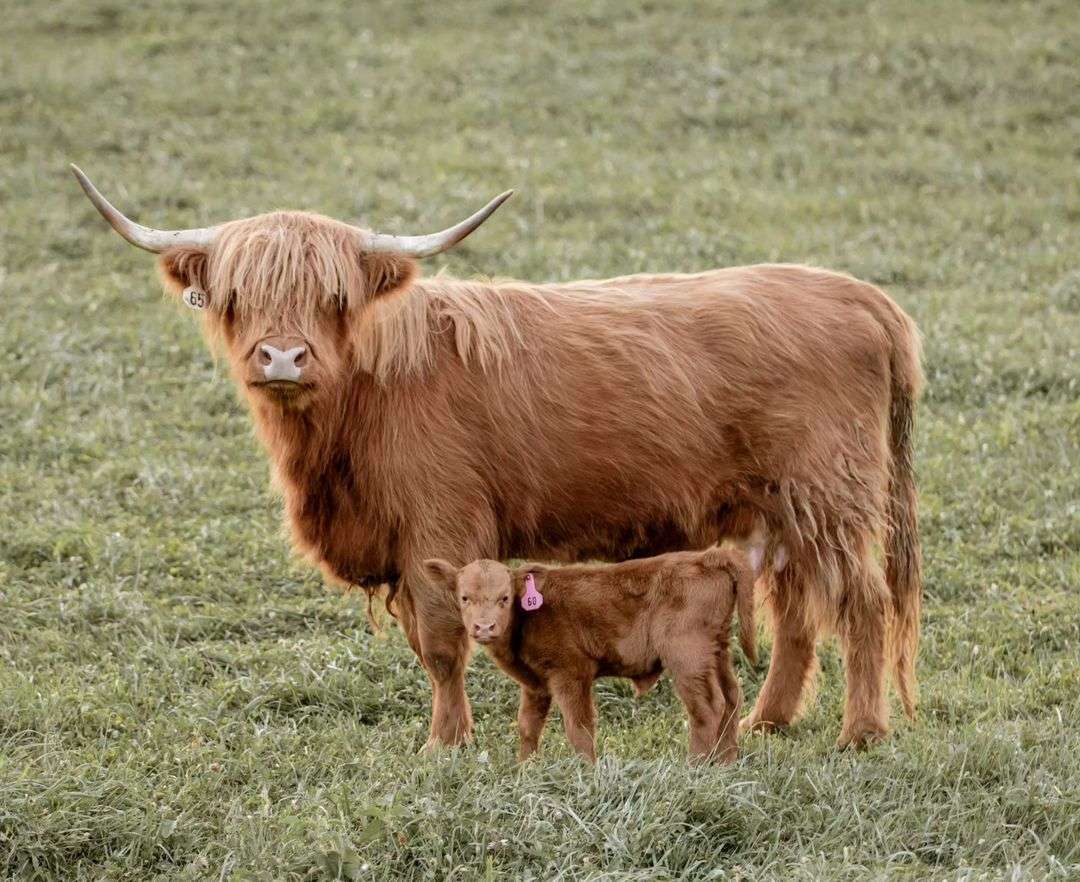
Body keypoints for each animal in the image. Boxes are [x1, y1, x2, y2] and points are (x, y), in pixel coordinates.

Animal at [416, 546, 756, 760]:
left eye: (505, 598)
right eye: (464, 597)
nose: (484, 627)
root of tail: (710, 555)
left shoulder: (571, 672)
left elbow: (578, 728)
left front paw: (585, 771)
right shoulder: (535, 683)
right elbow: (528, 726)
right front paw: (523, 770)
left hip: (687, 655)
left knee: (706, 707)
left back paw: (696, 768)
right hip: (717, 650)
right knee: (731, 698)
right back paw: (725, 765)